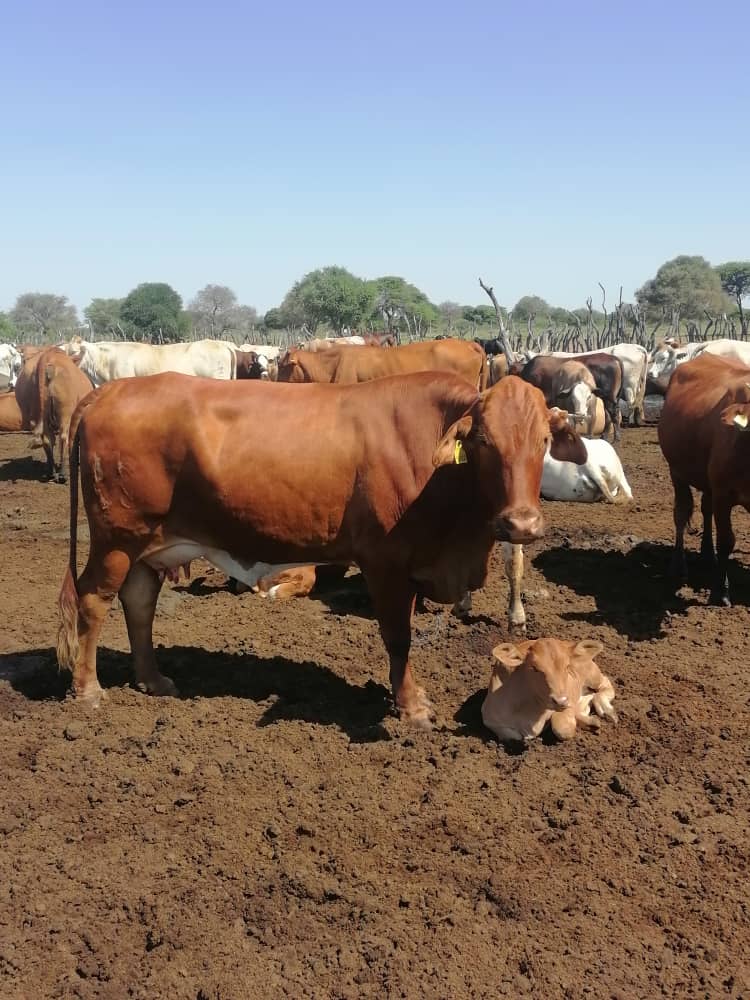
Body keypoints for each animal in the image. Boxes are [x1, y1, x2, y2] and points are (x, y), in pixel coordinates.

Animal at [57, 372, 585, 727]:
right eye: (483, 442)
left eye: (543, 440)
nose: (521, 523)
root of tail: (109, 390)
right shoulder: (385, 562)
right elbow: (399, 638)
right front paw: (410, 706)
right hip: (116, 540)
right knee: (93, 602)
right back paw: (88, 689)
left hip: (148, 546)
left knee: (139, 603)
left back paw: (153, 679)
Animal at [481, 638, 617, 743]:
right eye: (534, 668)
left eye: (567, 666)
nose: (561, 701)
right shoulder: (489, 718)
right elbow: (513, 737)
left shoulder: (568, 699)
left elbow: (562, 727)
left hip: (592, 675)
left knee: (604, 683)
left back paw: (605, 709)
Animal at [658, 352, 750, 606]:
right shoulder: (723, 494)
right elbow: (727, 540)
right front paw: (721, 592)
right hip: (676, 470)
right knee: (681, 513)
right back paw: (678, 566)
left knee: (705, 509)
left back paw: (708, 555)